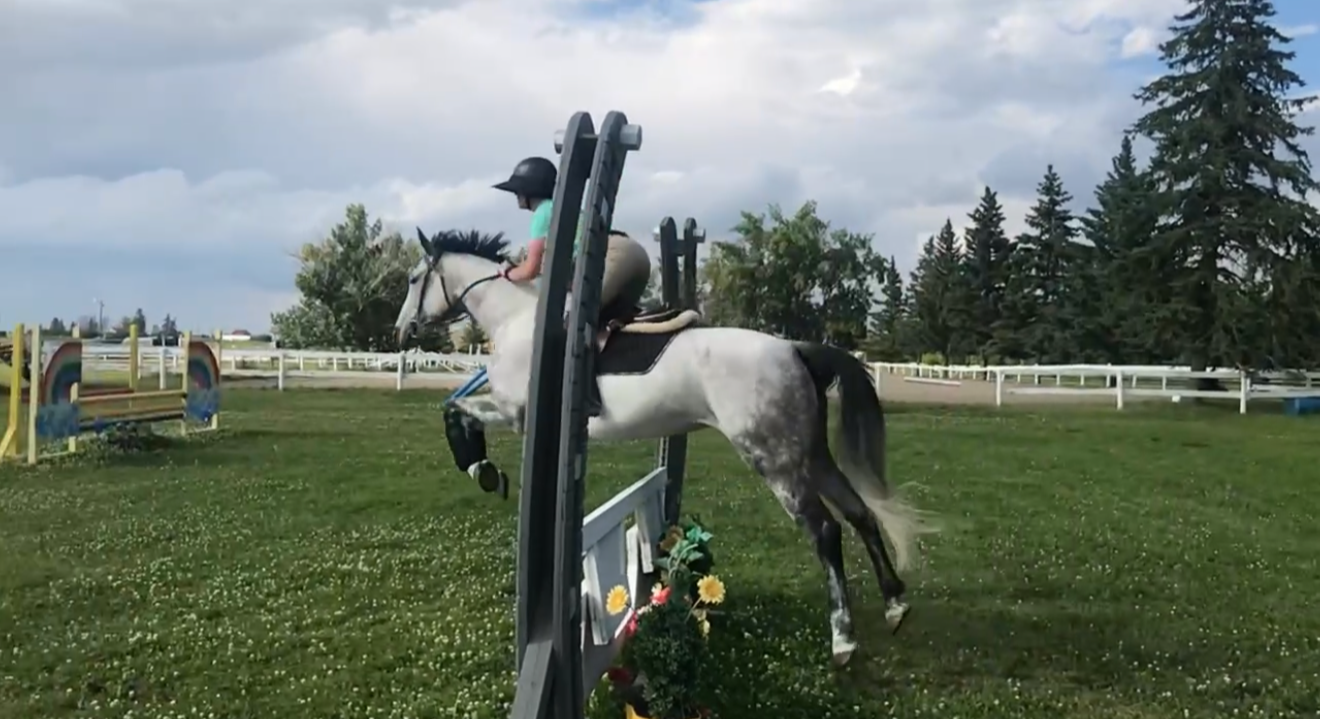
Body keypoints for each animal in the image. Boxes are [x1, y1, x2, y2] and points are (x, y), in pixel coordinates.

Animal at [394, 228, 937, 665]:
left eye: (414, 278)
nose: (402, 332)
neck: (518, 319)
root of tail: (794, 349)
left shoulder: (515, 413)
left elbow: (455, 412)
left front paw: (481, 468)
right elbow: (454, 407)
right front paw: (483, 468)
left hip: (773, 459)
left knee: (824, 530)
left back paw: (843, 639)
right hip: (811, 454)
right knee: (860, 513)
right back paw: (895, 604)